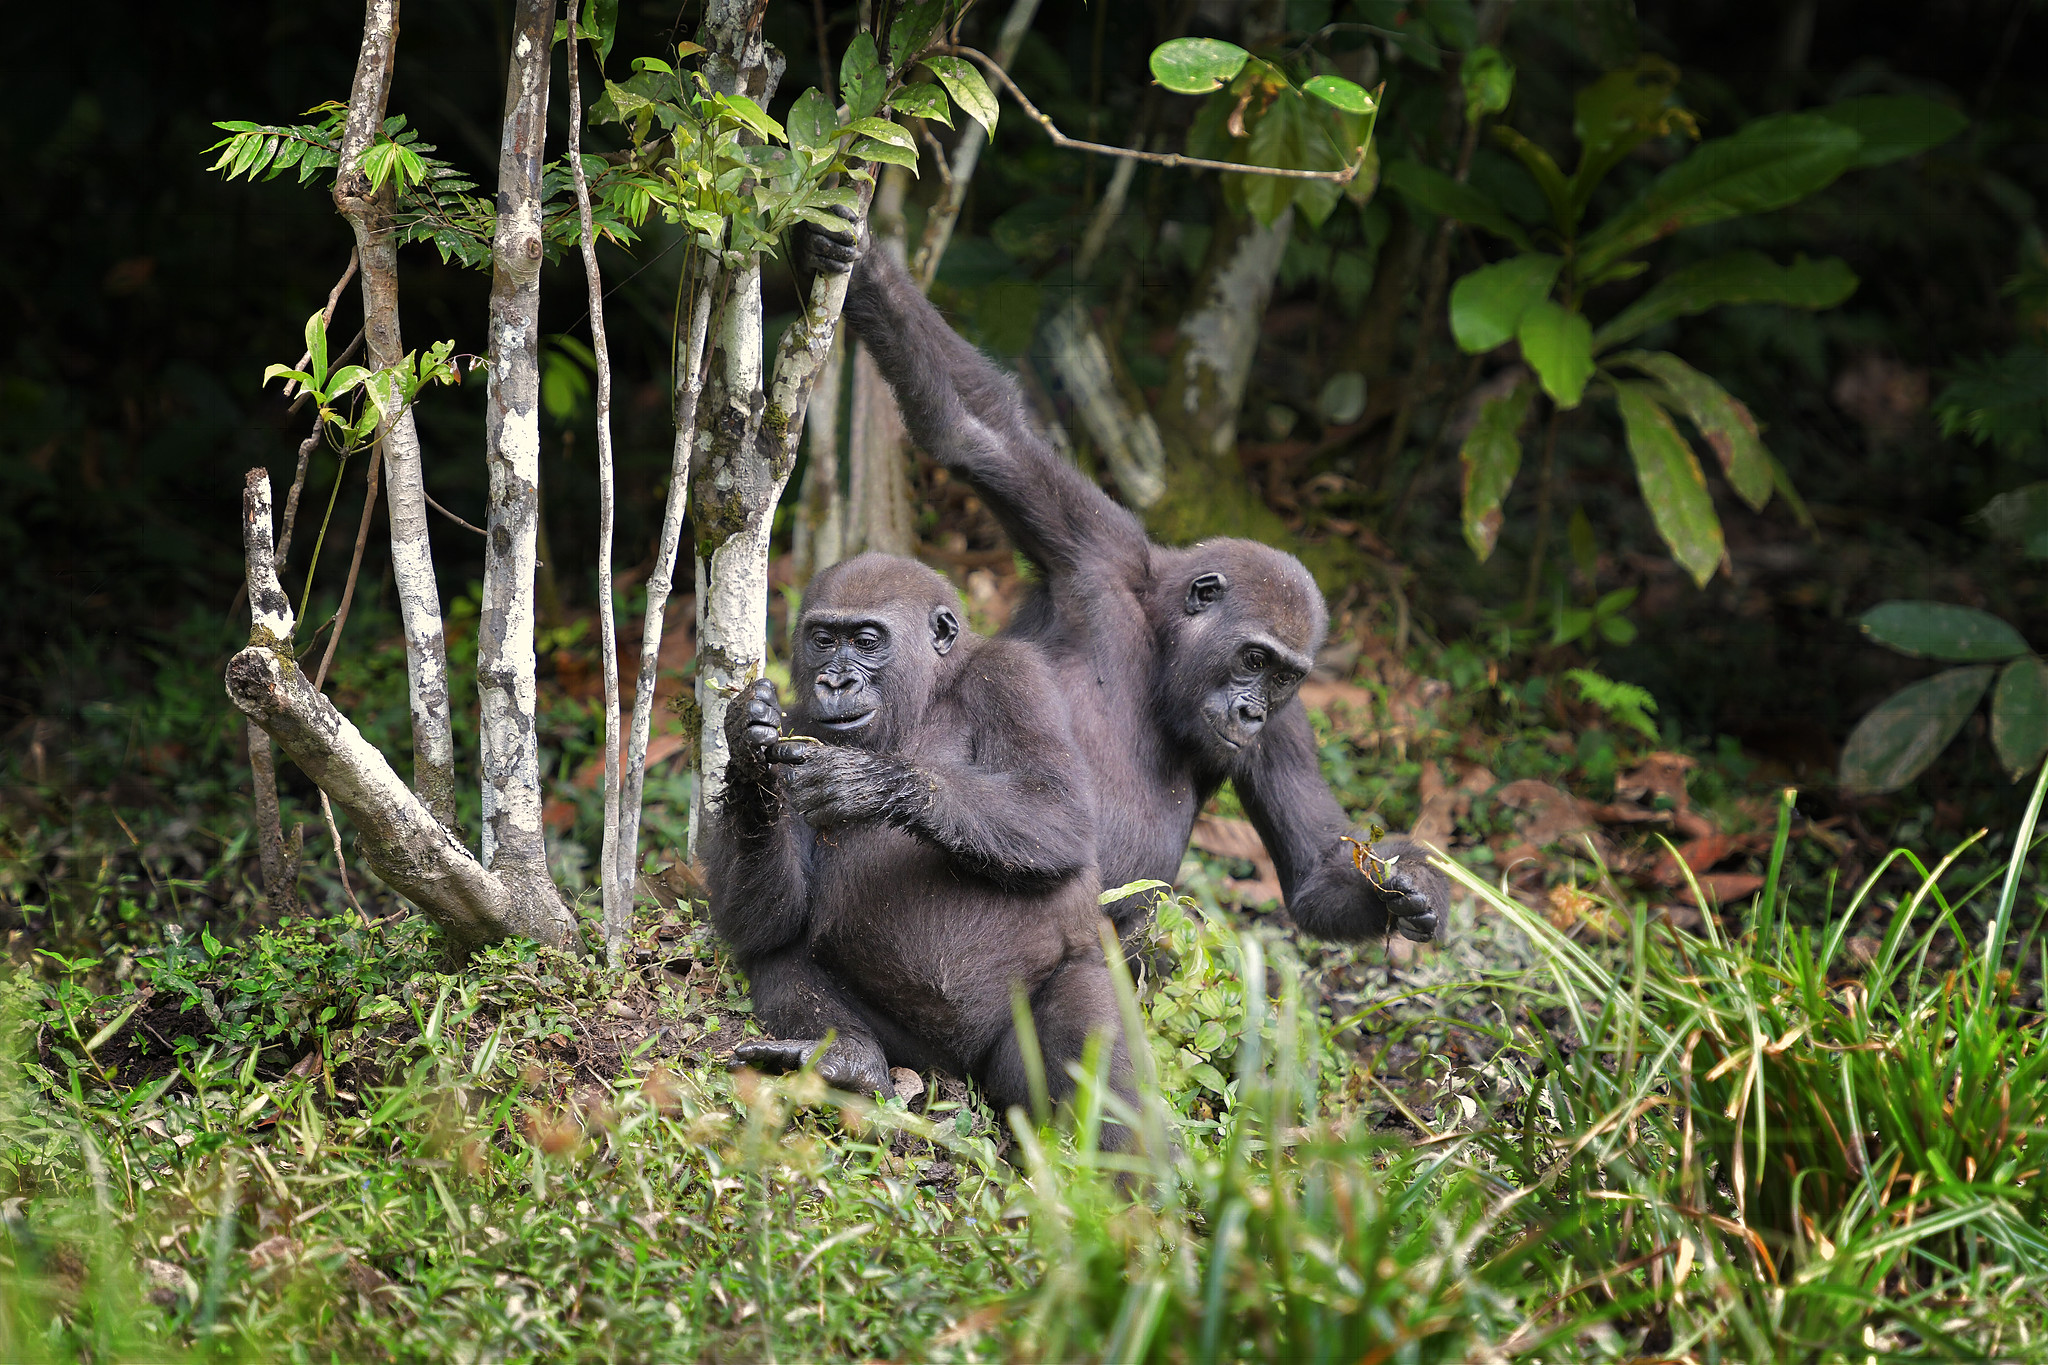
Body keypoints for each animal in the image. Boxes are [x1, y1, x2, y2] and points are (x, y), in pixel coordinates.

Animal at [704, 548, 1138, 1137]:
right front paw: (746, 747)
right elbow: (764, 921)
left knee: (1093, 1045)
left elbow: (1057, 810)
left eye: (867, 641)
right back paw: (849, 1063)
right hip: (912, 1053)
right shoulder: (797, 722)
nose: (835, 682)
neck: (929, 695)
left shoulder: (1015, 676)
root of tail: (956, 1073)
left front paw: (870, 782)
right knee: (777, 956)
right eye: (823, 639)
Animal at [798, 218, 1458, 945]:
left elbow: (1316, 874)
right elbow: (971, 426)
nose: (1252, 711)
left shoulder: (1289, 727)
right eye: (1254, 659)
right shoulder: (1098, 552)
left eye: (1282, 678)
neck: (1163, 647)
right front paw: (855, 255)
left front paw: (1413, 883)